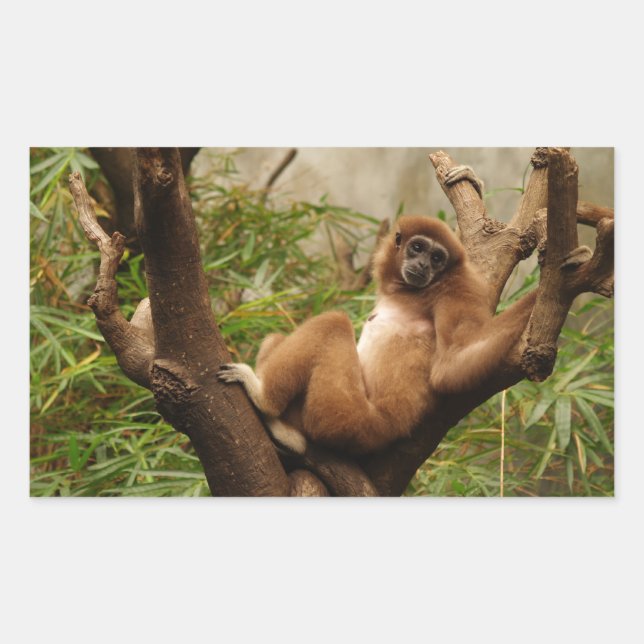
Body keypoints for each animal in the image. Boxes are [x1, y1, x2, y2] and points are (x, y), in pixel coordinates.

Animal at [217, 169, 537, 455]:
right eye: (417, 248)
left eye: (436, 257)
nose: (423, 265)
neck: (412, 292)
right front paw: (473, 183)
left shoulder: (456, 288)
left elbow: (453, 363)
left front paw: (539, 293)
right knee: (278, 338)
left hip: (344, 416)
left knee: (333, 323)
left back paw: (265, 403)